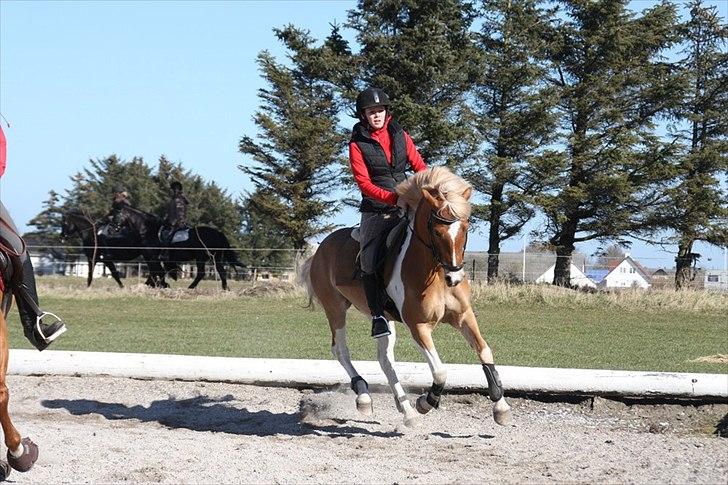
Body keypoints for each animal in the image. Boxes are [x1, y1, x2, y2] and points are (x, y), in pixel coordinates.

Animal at [302, 167, 512, 428]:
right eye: (436, 231)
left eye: (466, 228)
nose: (454, 277)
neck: (435, 273)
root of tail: (321, 248)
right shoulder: (418, 326)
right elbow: (440, 371)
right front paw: (425, 402)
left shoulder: (464, 316)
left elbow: (485, 351)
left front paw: (501, 407)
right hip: (335, 309)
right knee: (340, 350)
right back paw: (365, 396)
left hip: (380, 317)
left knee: (385, 359)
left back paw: (406, 410)